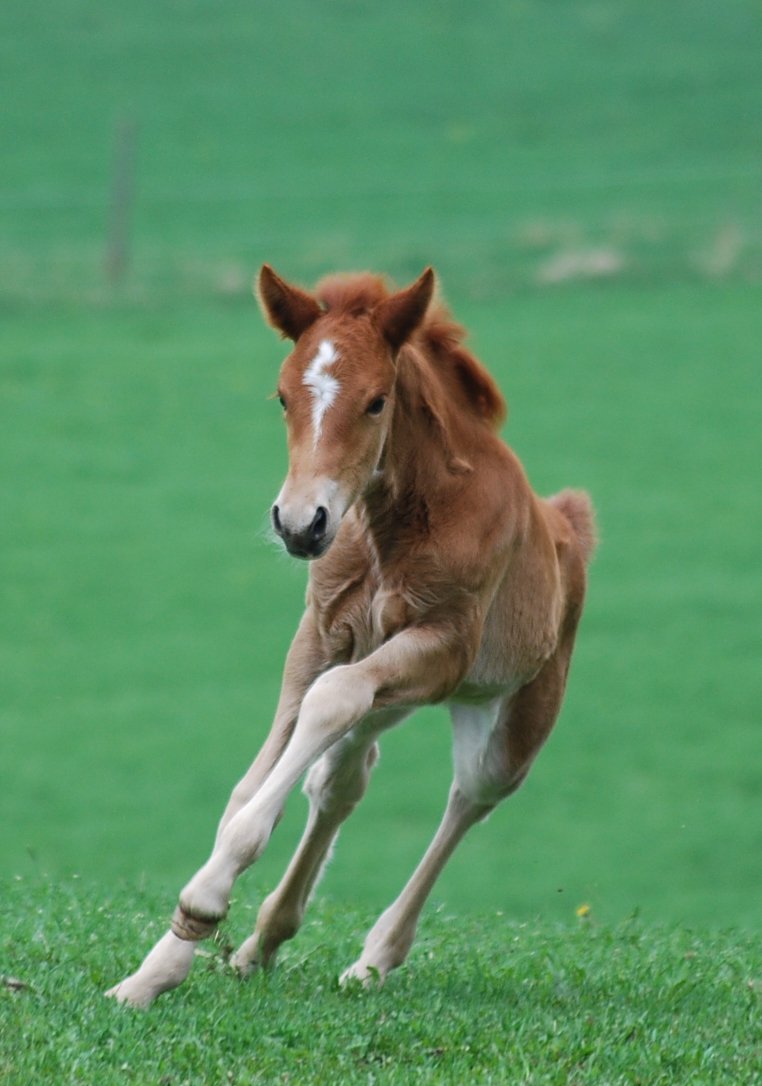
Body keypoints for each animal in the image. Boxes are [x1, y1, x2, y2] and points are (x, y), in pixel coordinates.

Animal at [107, 264, 599, 1007]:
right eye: (282, 396)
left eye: (375, 402)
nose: (299, 524)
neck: (389, 525)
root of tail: (566, 524)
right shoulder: (319, 637)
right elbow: (253, 786)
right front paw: (157, 966)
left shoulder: (444, 647)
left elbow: (331, 703)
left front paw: (202, 906)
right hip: (390, 687)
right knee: (340, 780)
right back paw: (262, 942)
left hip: (506, 717)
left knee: (466, 798)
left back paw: (375, 958)